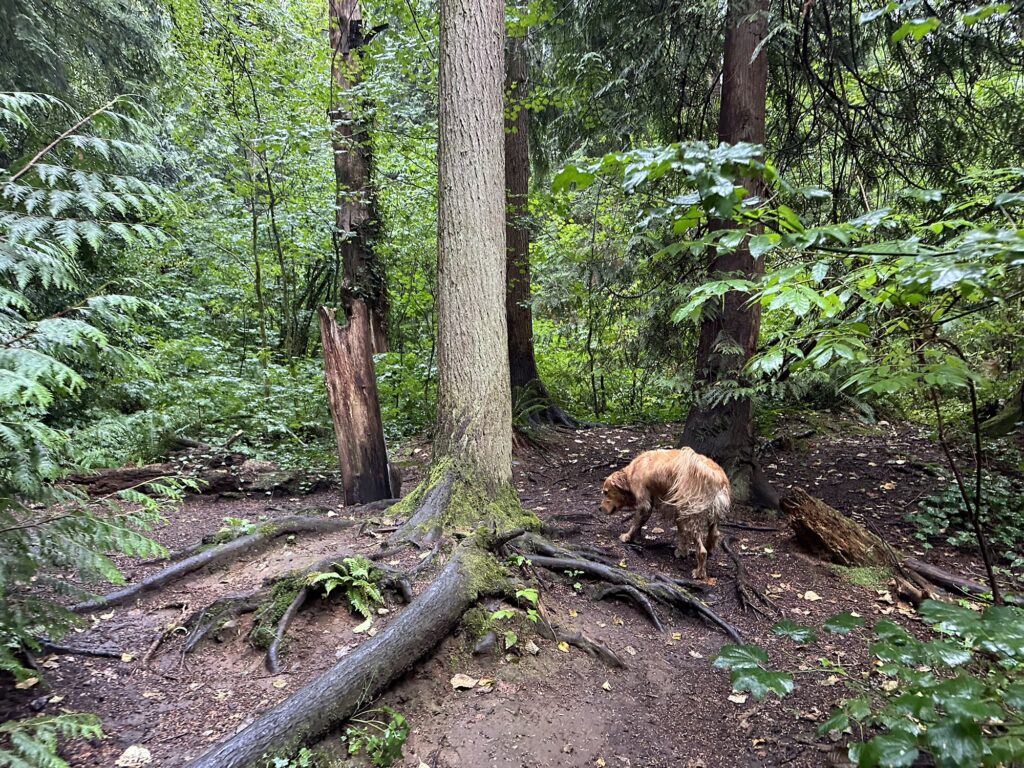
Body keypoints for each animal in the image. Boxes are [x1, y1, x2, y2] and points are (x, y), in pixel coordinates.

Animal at [598, 448, 729, 581]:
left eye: (606, 492)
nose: (599, 508)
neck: (632, 471)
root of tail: (717, 477)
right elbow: (680, 533)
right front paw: (681, 552)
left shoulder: (644, 503)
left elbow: (635, 523)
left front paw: (627, 536)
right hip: (704, 514)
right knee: (715, 534)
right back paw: (709, 549)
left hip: (691, 515)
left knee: (702, 551)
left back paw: (699, 573)